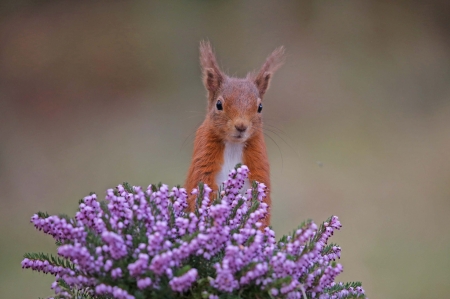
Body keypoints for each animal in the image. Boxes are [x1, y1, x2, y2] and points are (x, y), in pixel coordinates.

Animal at [184, 40, 284, 227]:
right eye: (218, 104)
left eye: (260, 107)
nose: (241, 126)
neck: (232, 145)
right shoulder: (204, 157)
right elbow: (201, 183)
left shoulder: (258, 162)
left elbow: (262, 197)